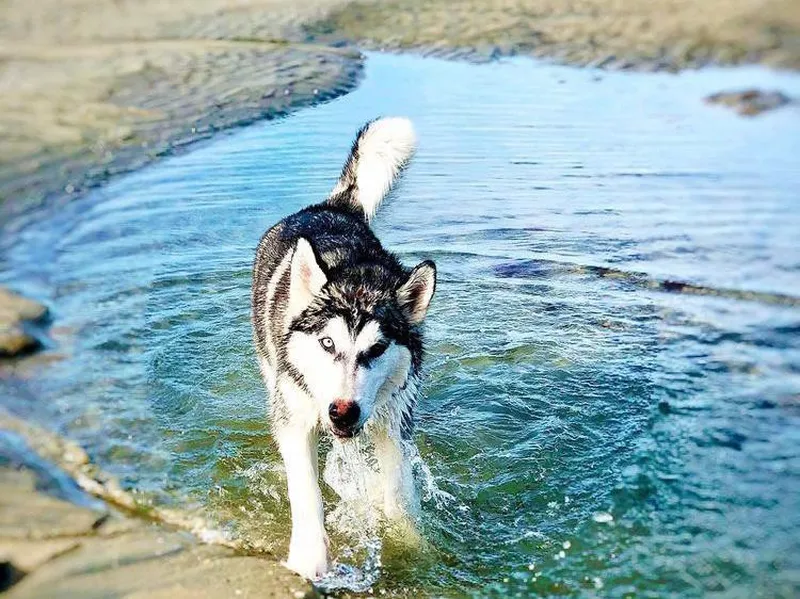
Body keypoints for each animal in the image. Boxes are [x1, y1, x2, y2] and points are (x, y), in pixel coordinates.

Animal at [252, 117, 434, 580]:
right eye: (327, 343)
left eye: (378, 348)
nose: (342, 411)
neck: (357, 280)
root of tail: (333, 206)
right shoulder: (294, 419)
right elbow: (306, 494)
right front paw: (310, 558)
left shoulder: (394, 420)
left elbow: (398, 494)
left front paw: (410, 544)